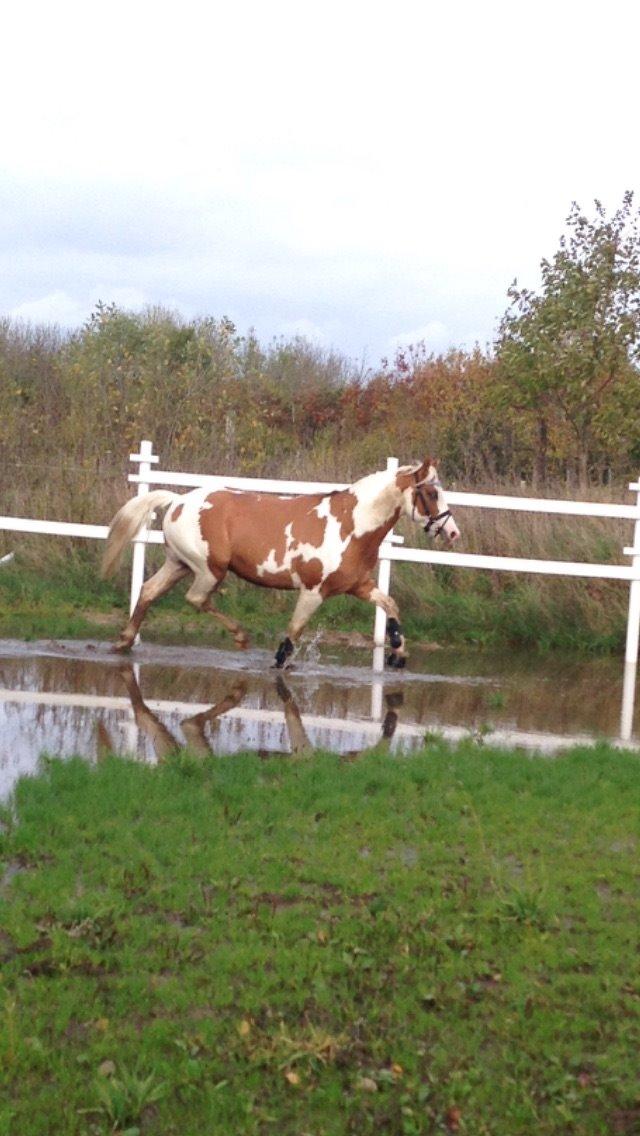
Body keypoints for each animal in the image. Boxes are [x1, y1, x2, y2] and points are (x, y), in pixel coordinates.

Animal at [102, 456, 459, 663]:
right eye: (431, 493)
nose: (452, 532)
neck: (352, 526)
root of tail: (177, 501)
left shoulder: (359, 586)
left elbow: (390, 605)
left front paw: (398, 651)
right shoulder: (314, 591)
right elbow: (293, 635)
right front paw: (278, 662)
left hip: (178, 564)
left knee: (148, 591)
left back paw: (123, 642)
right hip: (208, 569)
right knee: (196, 598)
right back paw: (240, 636)